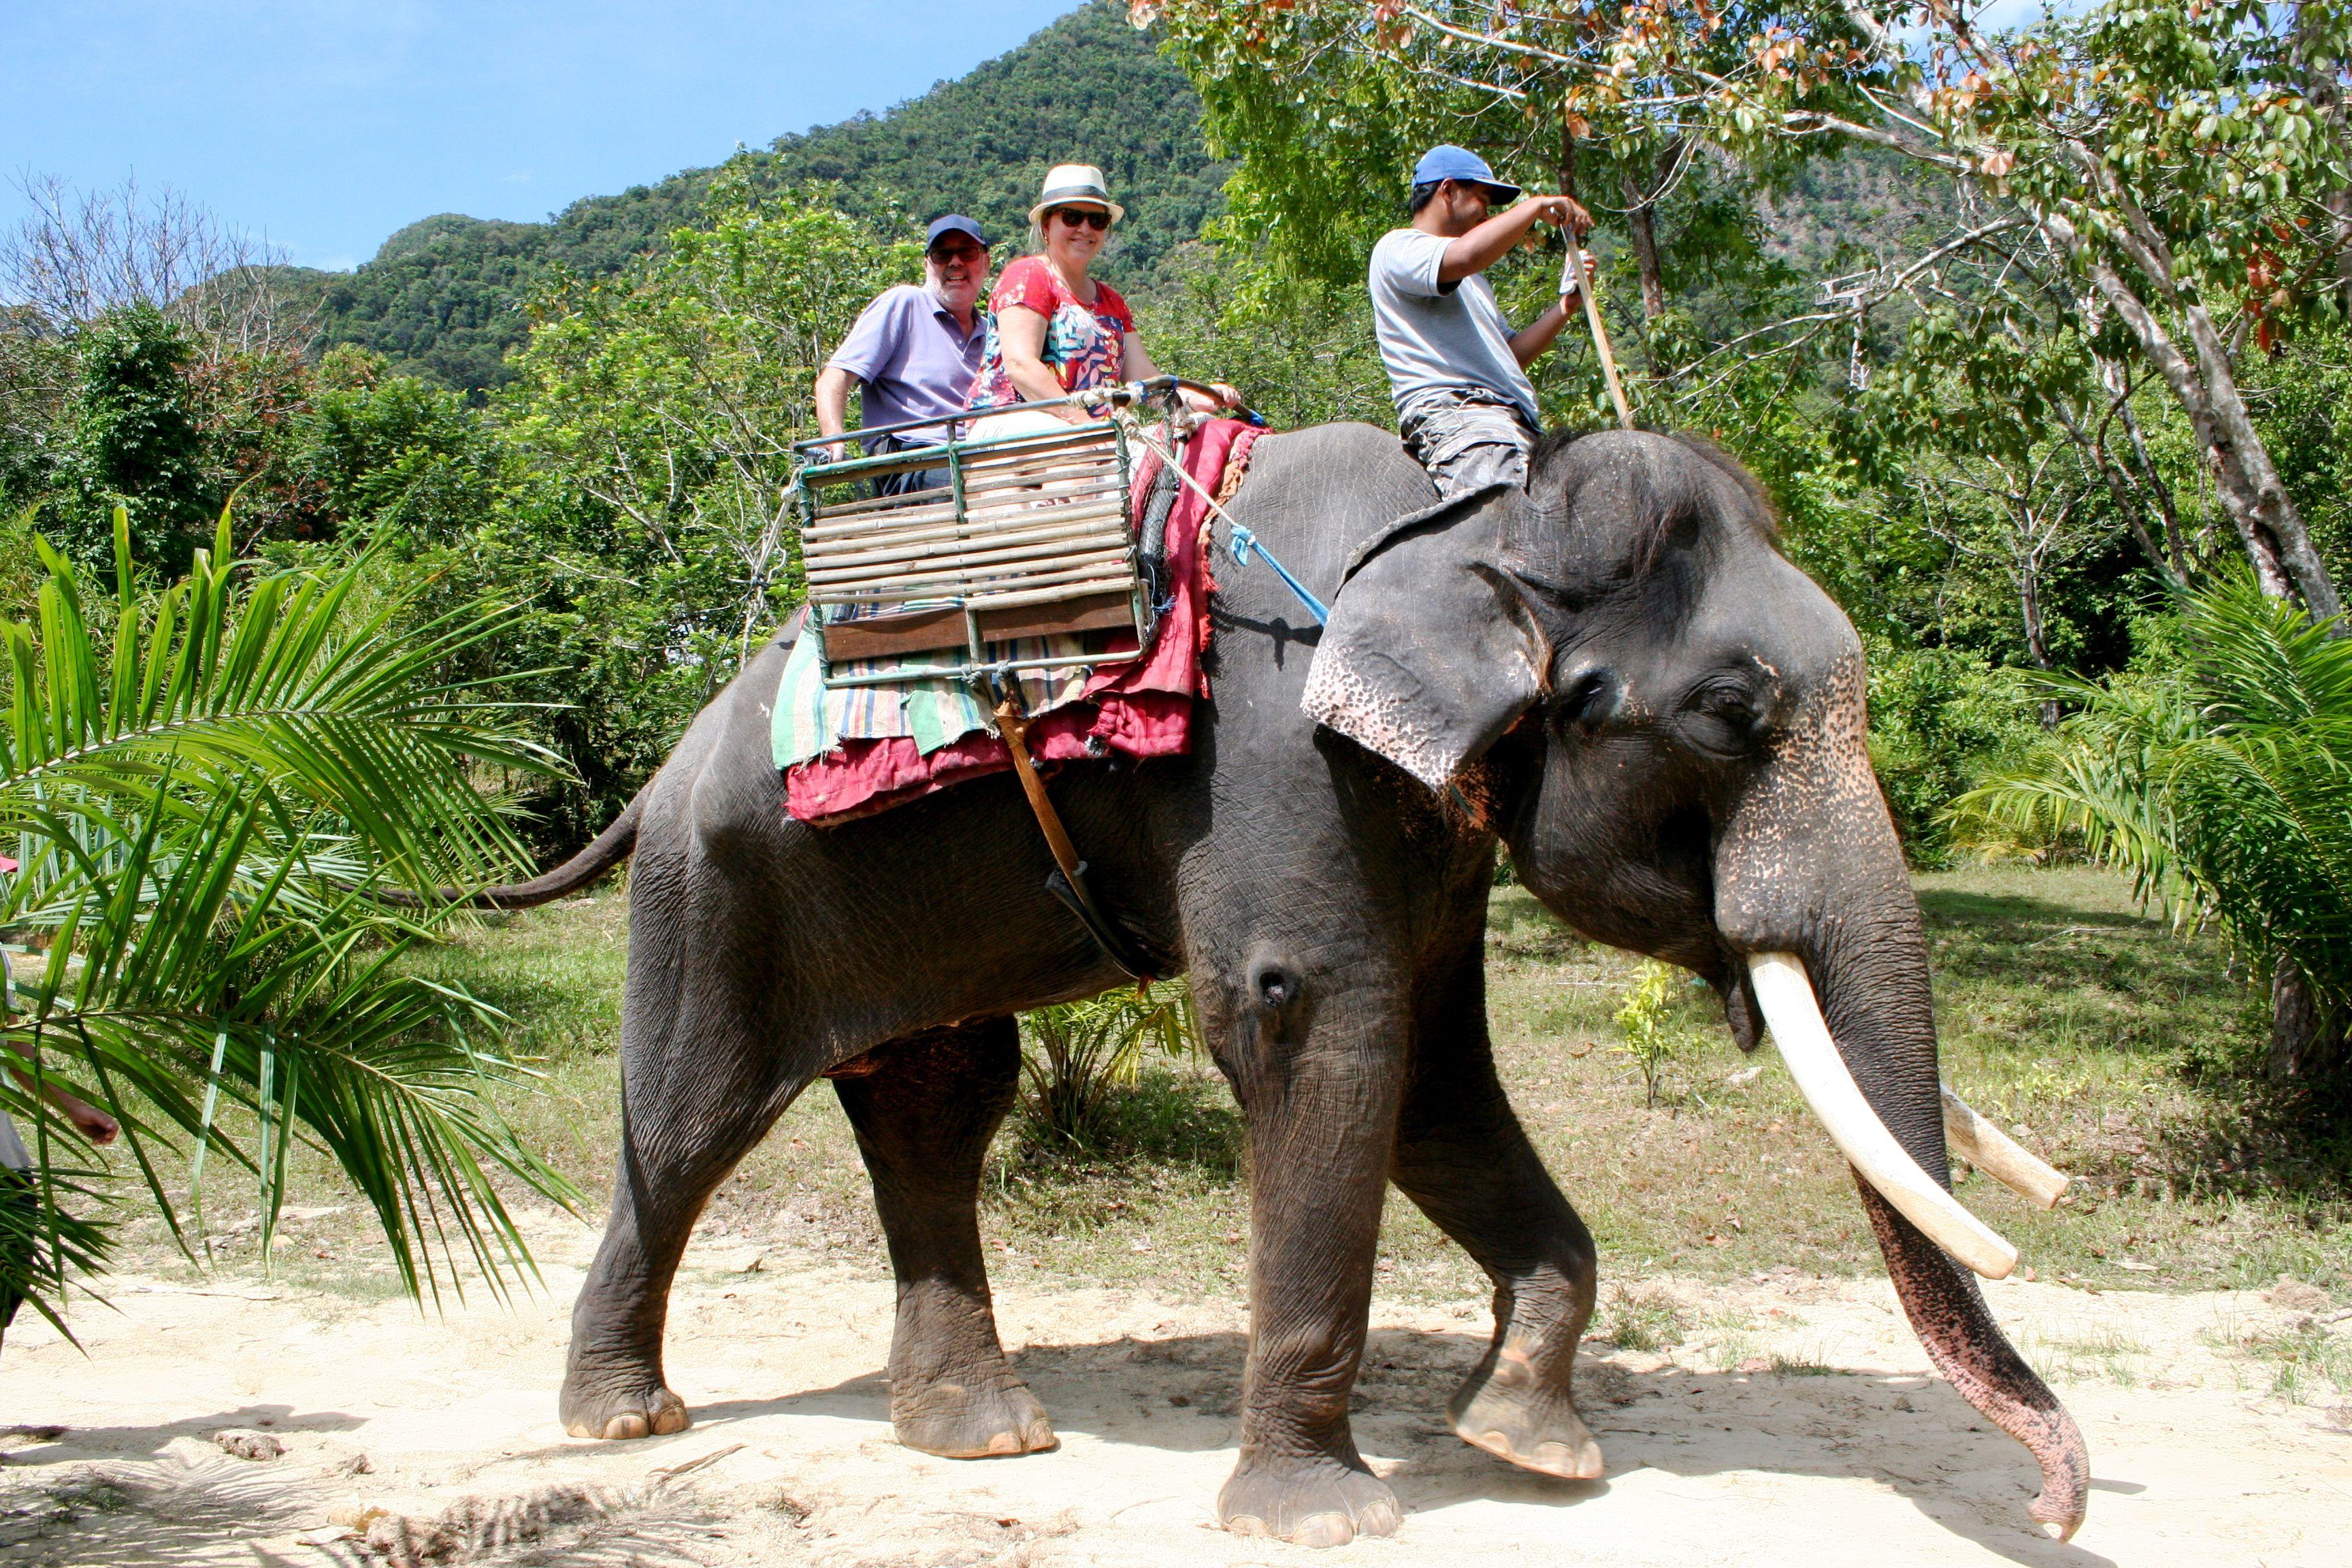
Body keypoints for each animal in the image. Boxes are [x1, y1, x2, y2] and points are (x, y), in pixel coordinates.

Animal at [477, 422, 2089, 1546]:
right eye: (1732, 713)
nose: (2058, 1508)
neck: (1467, 522)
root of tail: (663, 763)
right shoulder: (1279, 749)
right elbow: (1315, 1026)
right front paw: (1325, 1518)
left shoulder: (1424, 812)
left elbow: (1432, 1072)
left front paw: (1529, 1441)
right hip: (712, 891)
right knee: (693, 1119)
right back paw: (627, 1419)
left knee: (939, 1101)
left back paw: (981, 1435)